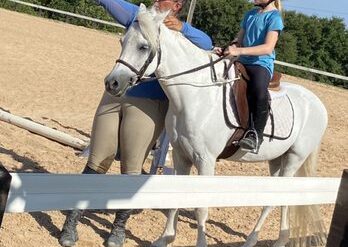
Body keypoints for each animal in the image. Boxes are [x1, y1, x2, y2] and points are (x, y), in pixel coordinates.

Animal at [104, 5, 328, 247]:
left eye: (143, 47)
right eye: (122, 41)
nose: (112, 83)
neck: (196, 95)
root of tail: (317, 103)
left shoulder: (206, 160)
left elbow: (201, 208)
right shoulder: (181, 155)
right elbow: (176, 198)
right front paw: (164, 238)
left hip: (295, 158)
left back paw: (261, 240)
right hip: (277, 160)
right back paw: (271, 239)